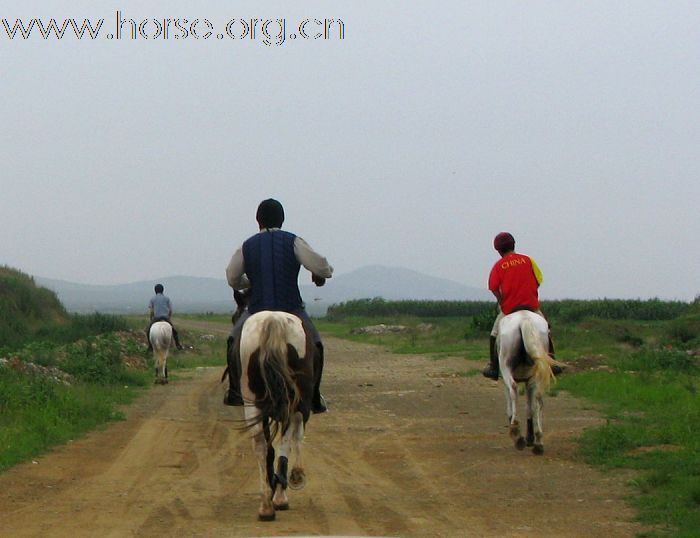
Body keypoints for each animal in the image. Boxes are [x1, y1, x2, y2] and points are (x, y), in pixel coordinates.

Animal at [241, 310, 318, 520]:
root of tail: (273, 320)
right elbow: (296, 437)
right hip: (296, 399)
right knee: (288, 437)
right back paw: (284, 491)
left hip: (252, 401)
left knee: (261, 445)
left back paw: (266, 504)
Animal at [498, 310, 564, 452]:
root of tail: (524, 319)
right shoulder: (529, 380)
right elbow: (530, 407)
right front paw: (530, 437)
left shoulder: (506, 382)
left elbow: (510, 406)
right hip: (538, 369)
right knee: (538, 398)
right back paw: (538, 441)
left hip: (505, 366)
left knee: (513, 389)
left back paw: (517, 434)